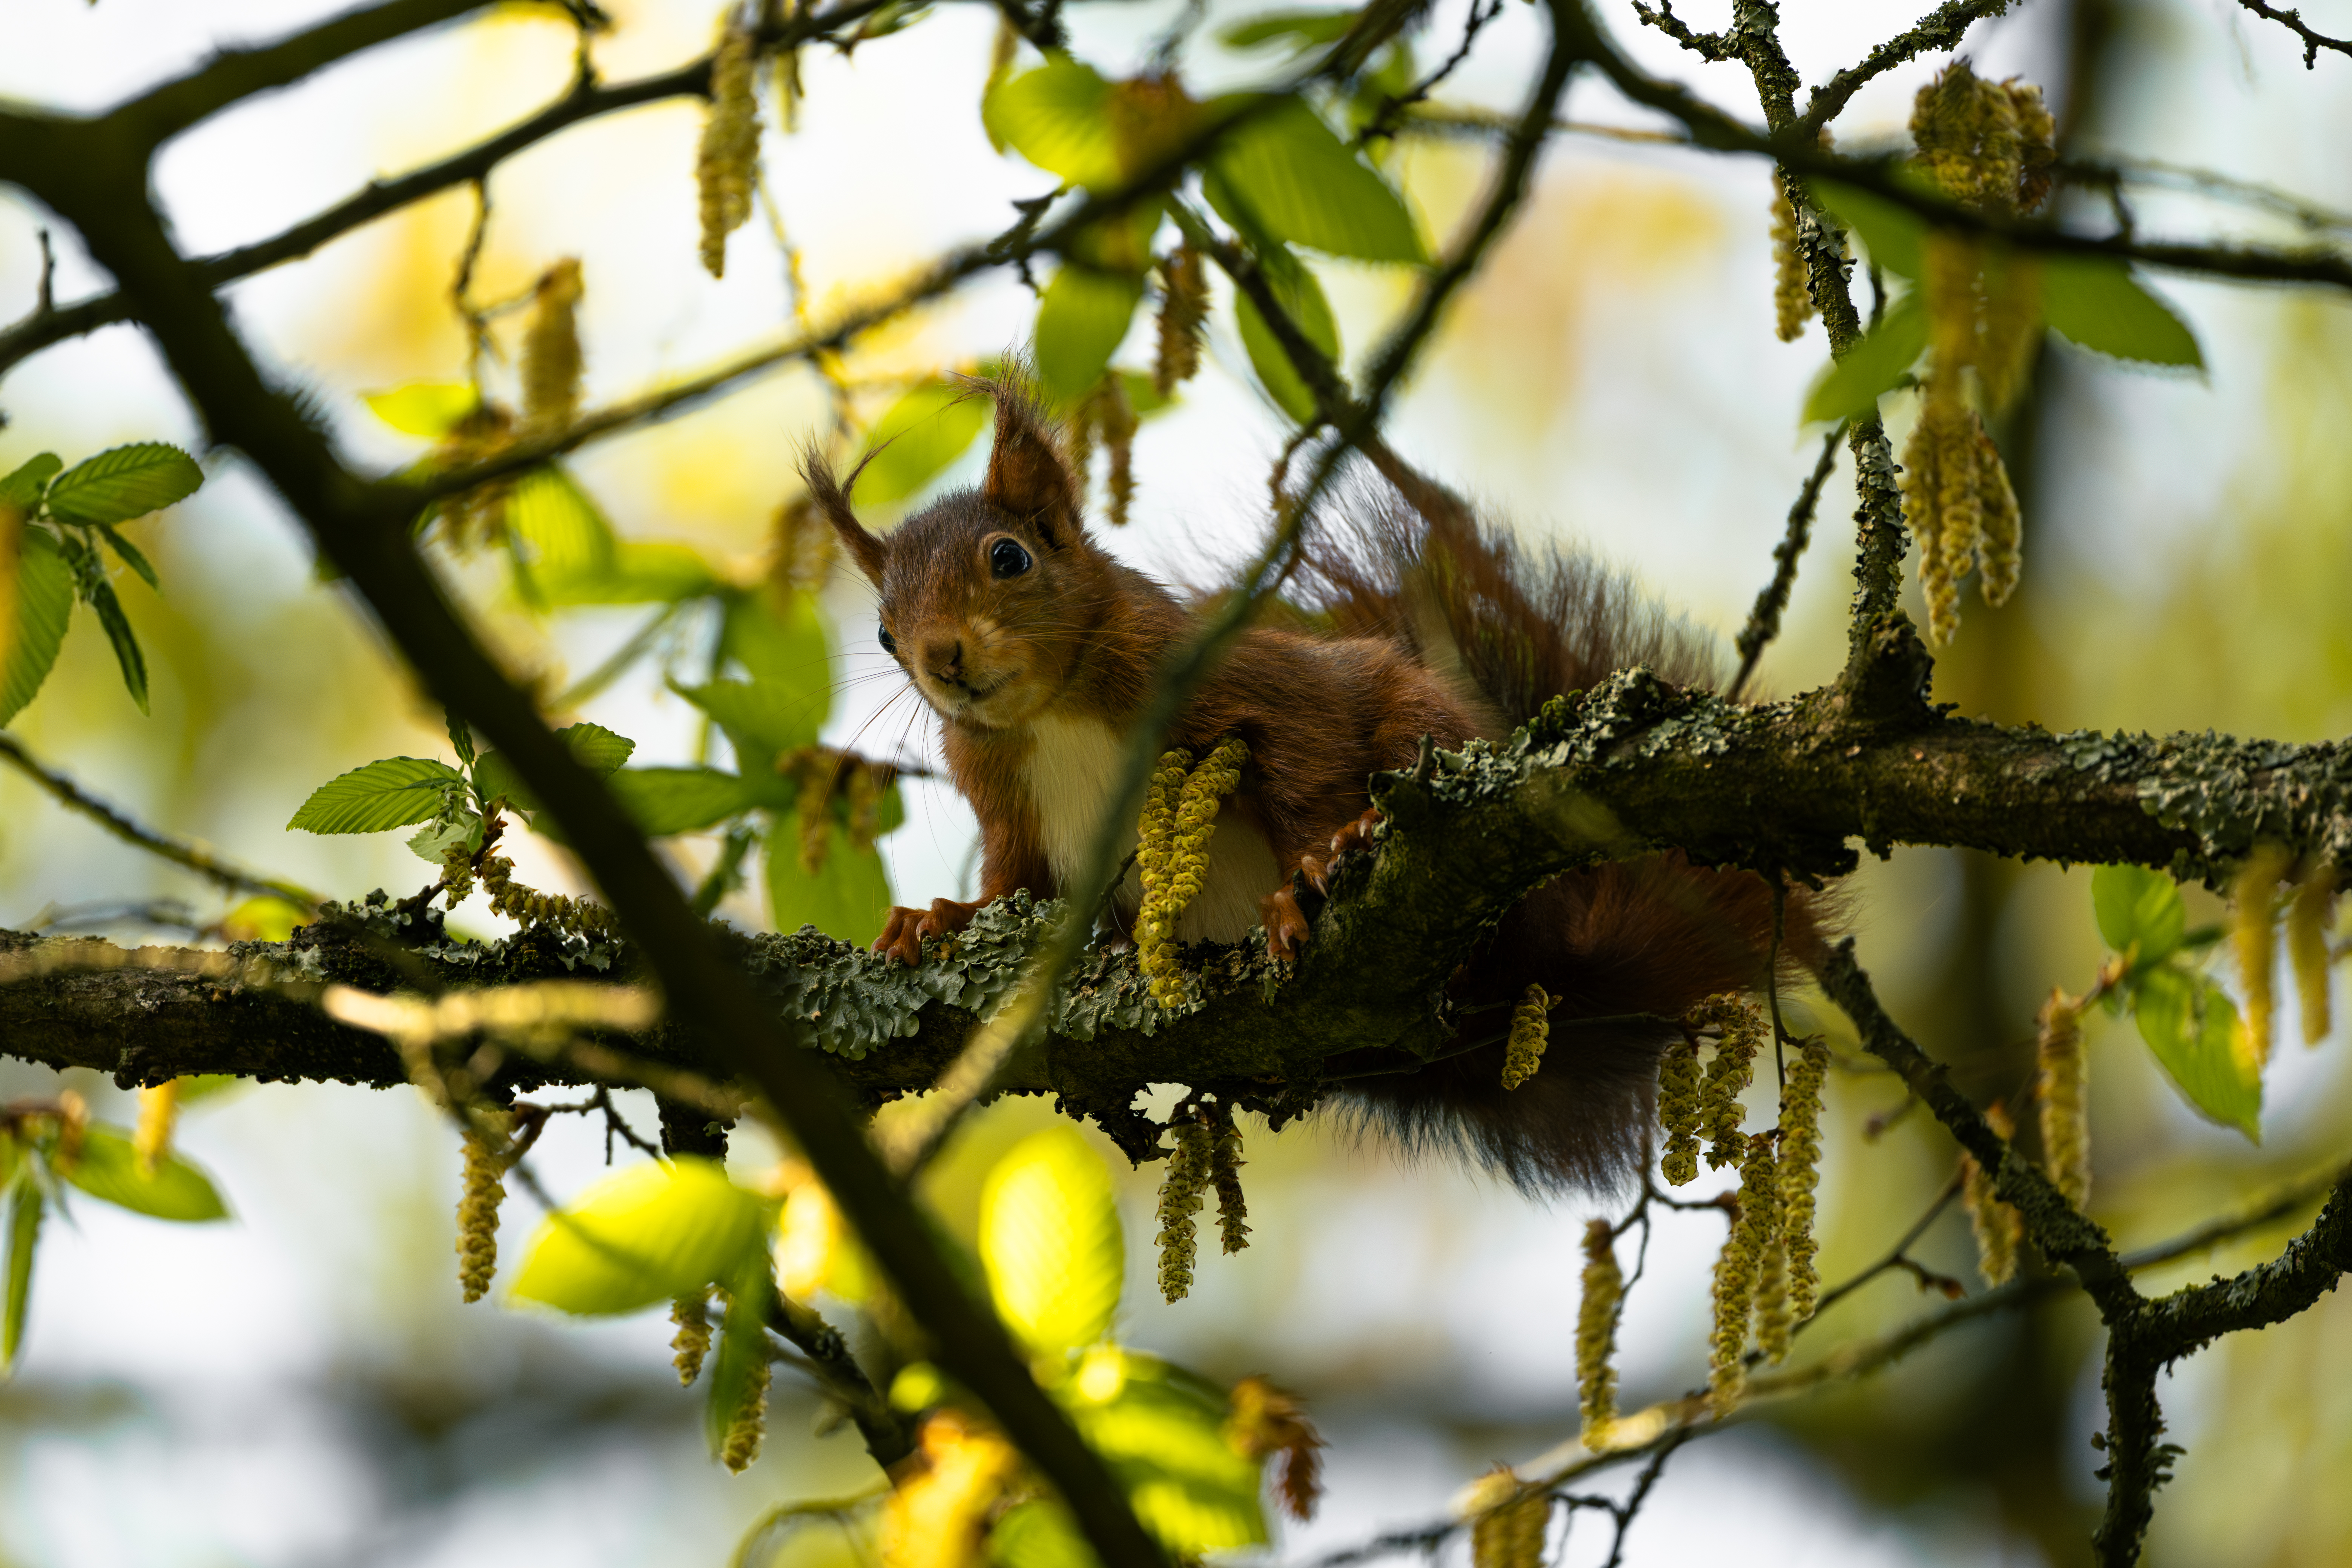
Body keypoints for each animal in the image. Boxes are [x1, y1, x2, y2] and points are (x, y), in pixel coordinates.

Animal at [807, 379, 1820, 1193]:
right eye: (886, 631)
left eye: (1009, 557)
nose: (940, 657)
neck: (1049, 712)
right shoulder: (1007, 804)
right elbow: (1014, 889)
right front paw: (935, 919)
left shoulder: (1239, 683)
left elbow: (1305, 759)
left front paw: (1308, 870)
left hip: (1433, 748)